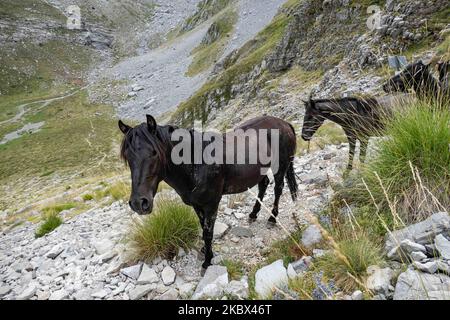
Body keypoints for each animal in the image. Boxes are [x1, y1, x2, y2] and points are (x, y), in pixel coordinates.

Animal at [118, 115, 298, 270]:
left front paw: (207, 260)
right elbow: (202, 227)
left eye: (154, 152)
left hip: (280, 166)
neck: (196, 163)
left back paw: (272, 218)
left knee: (278, 188)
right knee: (263, 185)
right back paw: (253, 214)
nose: (139, 203)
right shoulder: (197, 205)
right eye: (127, 156)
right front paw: (206, 250)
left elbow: (208, 232)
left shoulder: (211, 204)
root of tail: (284, 123)